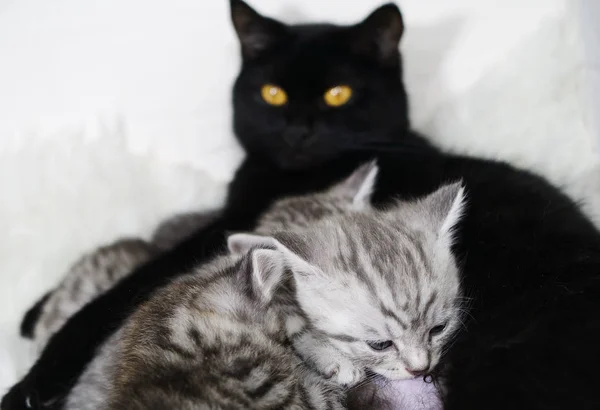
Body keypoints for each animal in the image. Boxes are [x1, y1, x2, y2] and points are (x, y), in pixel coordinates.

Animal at [4, 0, 600, 410]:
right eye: (272, 94)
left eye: (339, 94)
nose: (299, 131)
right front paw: (35, 317)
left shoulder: (220, 230)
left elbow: (114, 295)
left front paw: (31, 379)